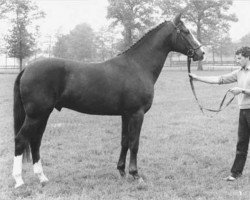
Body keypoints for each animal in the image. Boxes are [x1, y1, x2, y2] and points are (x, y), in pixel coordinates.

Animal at [12, 13, 205, 188]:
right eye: (186, 31)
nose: (201, 53)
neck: (138, 65)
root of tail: (27, 68)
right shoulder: (137, 114)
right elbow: (135, 143)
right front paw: (136, 175)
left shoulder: (126, 115)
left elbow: (125, 141)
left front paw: (121, 171)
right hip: (36, 115)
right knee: (21, 139)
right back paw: (19, 181)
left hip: (42, 115)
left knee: (35, 141)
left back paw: (42, 178)